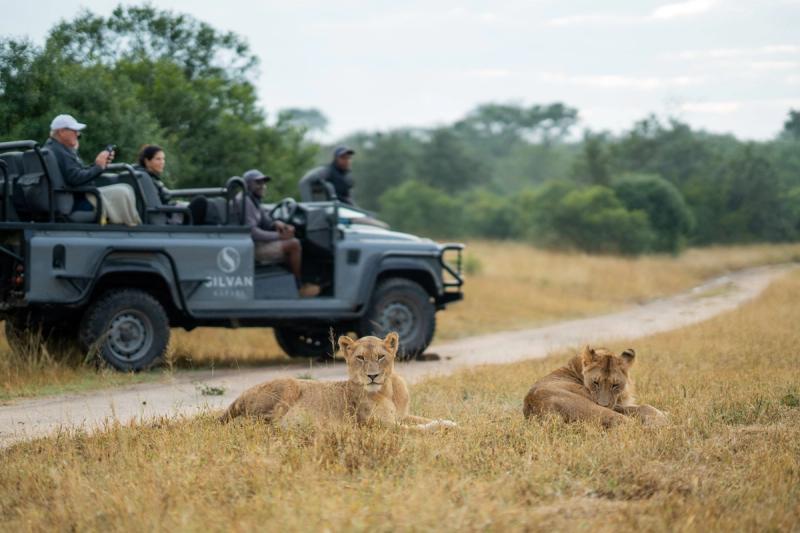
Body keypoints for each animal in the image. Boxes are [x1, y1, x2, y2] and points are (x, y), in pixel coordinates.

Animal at [219, 332, 456, 431]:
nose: (372, 376)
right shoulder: (377, 425)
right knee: (258, 424)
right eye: (360, 358)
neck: (387, 391)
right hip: (289, 386)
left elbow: (424, 418)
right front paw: (441, 428)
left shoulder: (402, 415)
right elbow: (416, 429)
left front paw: (451, 422)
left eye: (380, 356)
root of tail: (237, 399)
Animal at [523, 346, 667, 427]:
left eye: (615, 385)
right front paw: (660, 417)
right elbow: (643, 407)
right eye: (595, 382)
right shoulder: (614, 405)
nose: (603, 404)